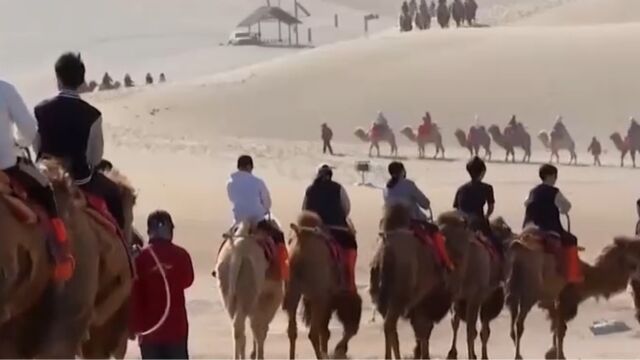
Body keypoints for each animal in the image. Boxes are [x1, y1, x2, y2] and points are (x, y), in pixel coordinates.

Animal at [216, 221, 284, 358]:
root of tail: (238, 253)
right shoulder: (272, 295)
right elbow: (260, 327)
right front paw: (258, 354)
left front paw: (254, 353)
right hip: (249, 285)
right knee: (244, 324)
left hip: (227, 285)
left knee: (236, 326)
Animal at [286, 212, 362, 358]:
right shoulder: (333, 296)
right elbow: (345, 326)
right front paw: (339, 349)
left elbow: (325, 331)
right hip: (318, 296)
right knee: (313, 333)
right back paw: (322, 355)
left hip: (293, 291)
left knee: (293, 330)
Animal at [368, 204, 448, 358]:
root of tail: (386, 252)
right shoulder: (424, 301)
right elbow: (423, 330)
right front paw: (423, 354)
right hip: (399, 295)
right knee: (389, 325)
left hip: (379, 292)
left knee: (390, 327)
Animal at [508, 231, 640, 360]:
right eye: (632, 248)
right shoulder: (564, 299)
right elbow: (560, 329)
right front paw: (559, 355)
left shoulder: (553, 300)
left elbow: (556, 325)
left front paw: (551, 353)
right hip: (529, 294)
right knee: (519, 323)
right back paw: (518, 356)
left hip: (514, 292)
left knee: (516, 321)